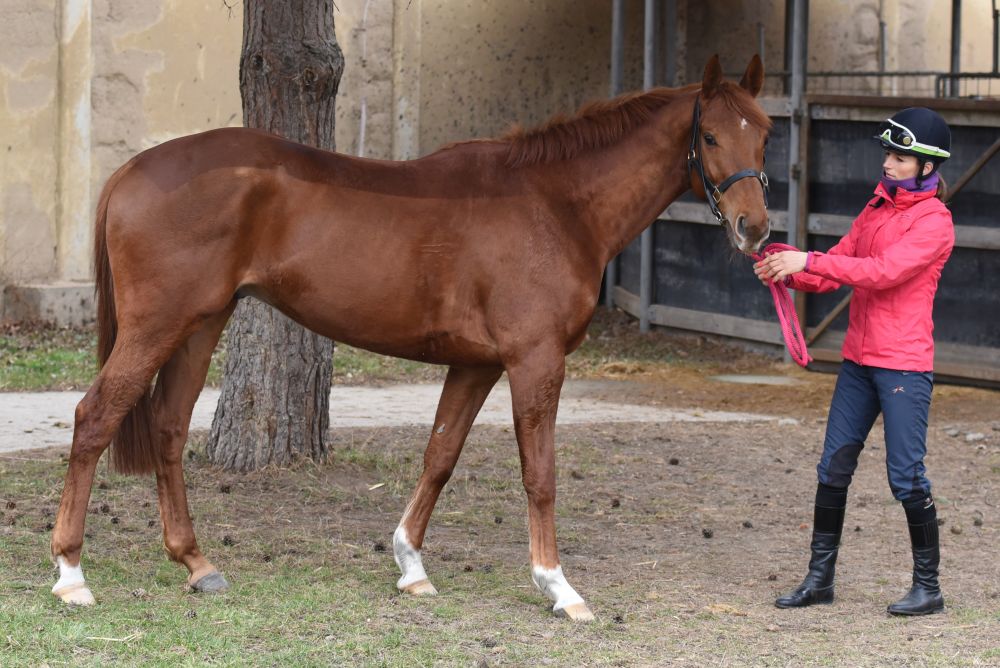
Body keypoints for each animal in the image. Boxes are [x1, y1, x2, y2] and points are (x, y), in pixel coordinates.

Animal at [48, 54, 772, 620]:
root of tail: (131, 172)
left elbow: (440, 456)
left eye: (764, 134)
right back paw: (71, 575)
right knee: (94, 418)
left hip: (200, 326)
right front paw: (558, 586)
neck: (555, 204)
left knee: (168, 428)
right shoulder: (534, 361)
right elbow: (539, 474)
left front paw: (411, 565)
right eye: (709, 135)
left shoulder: (477, 365)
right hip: (157, 327)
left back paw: (197, 564)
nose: (755, 227)